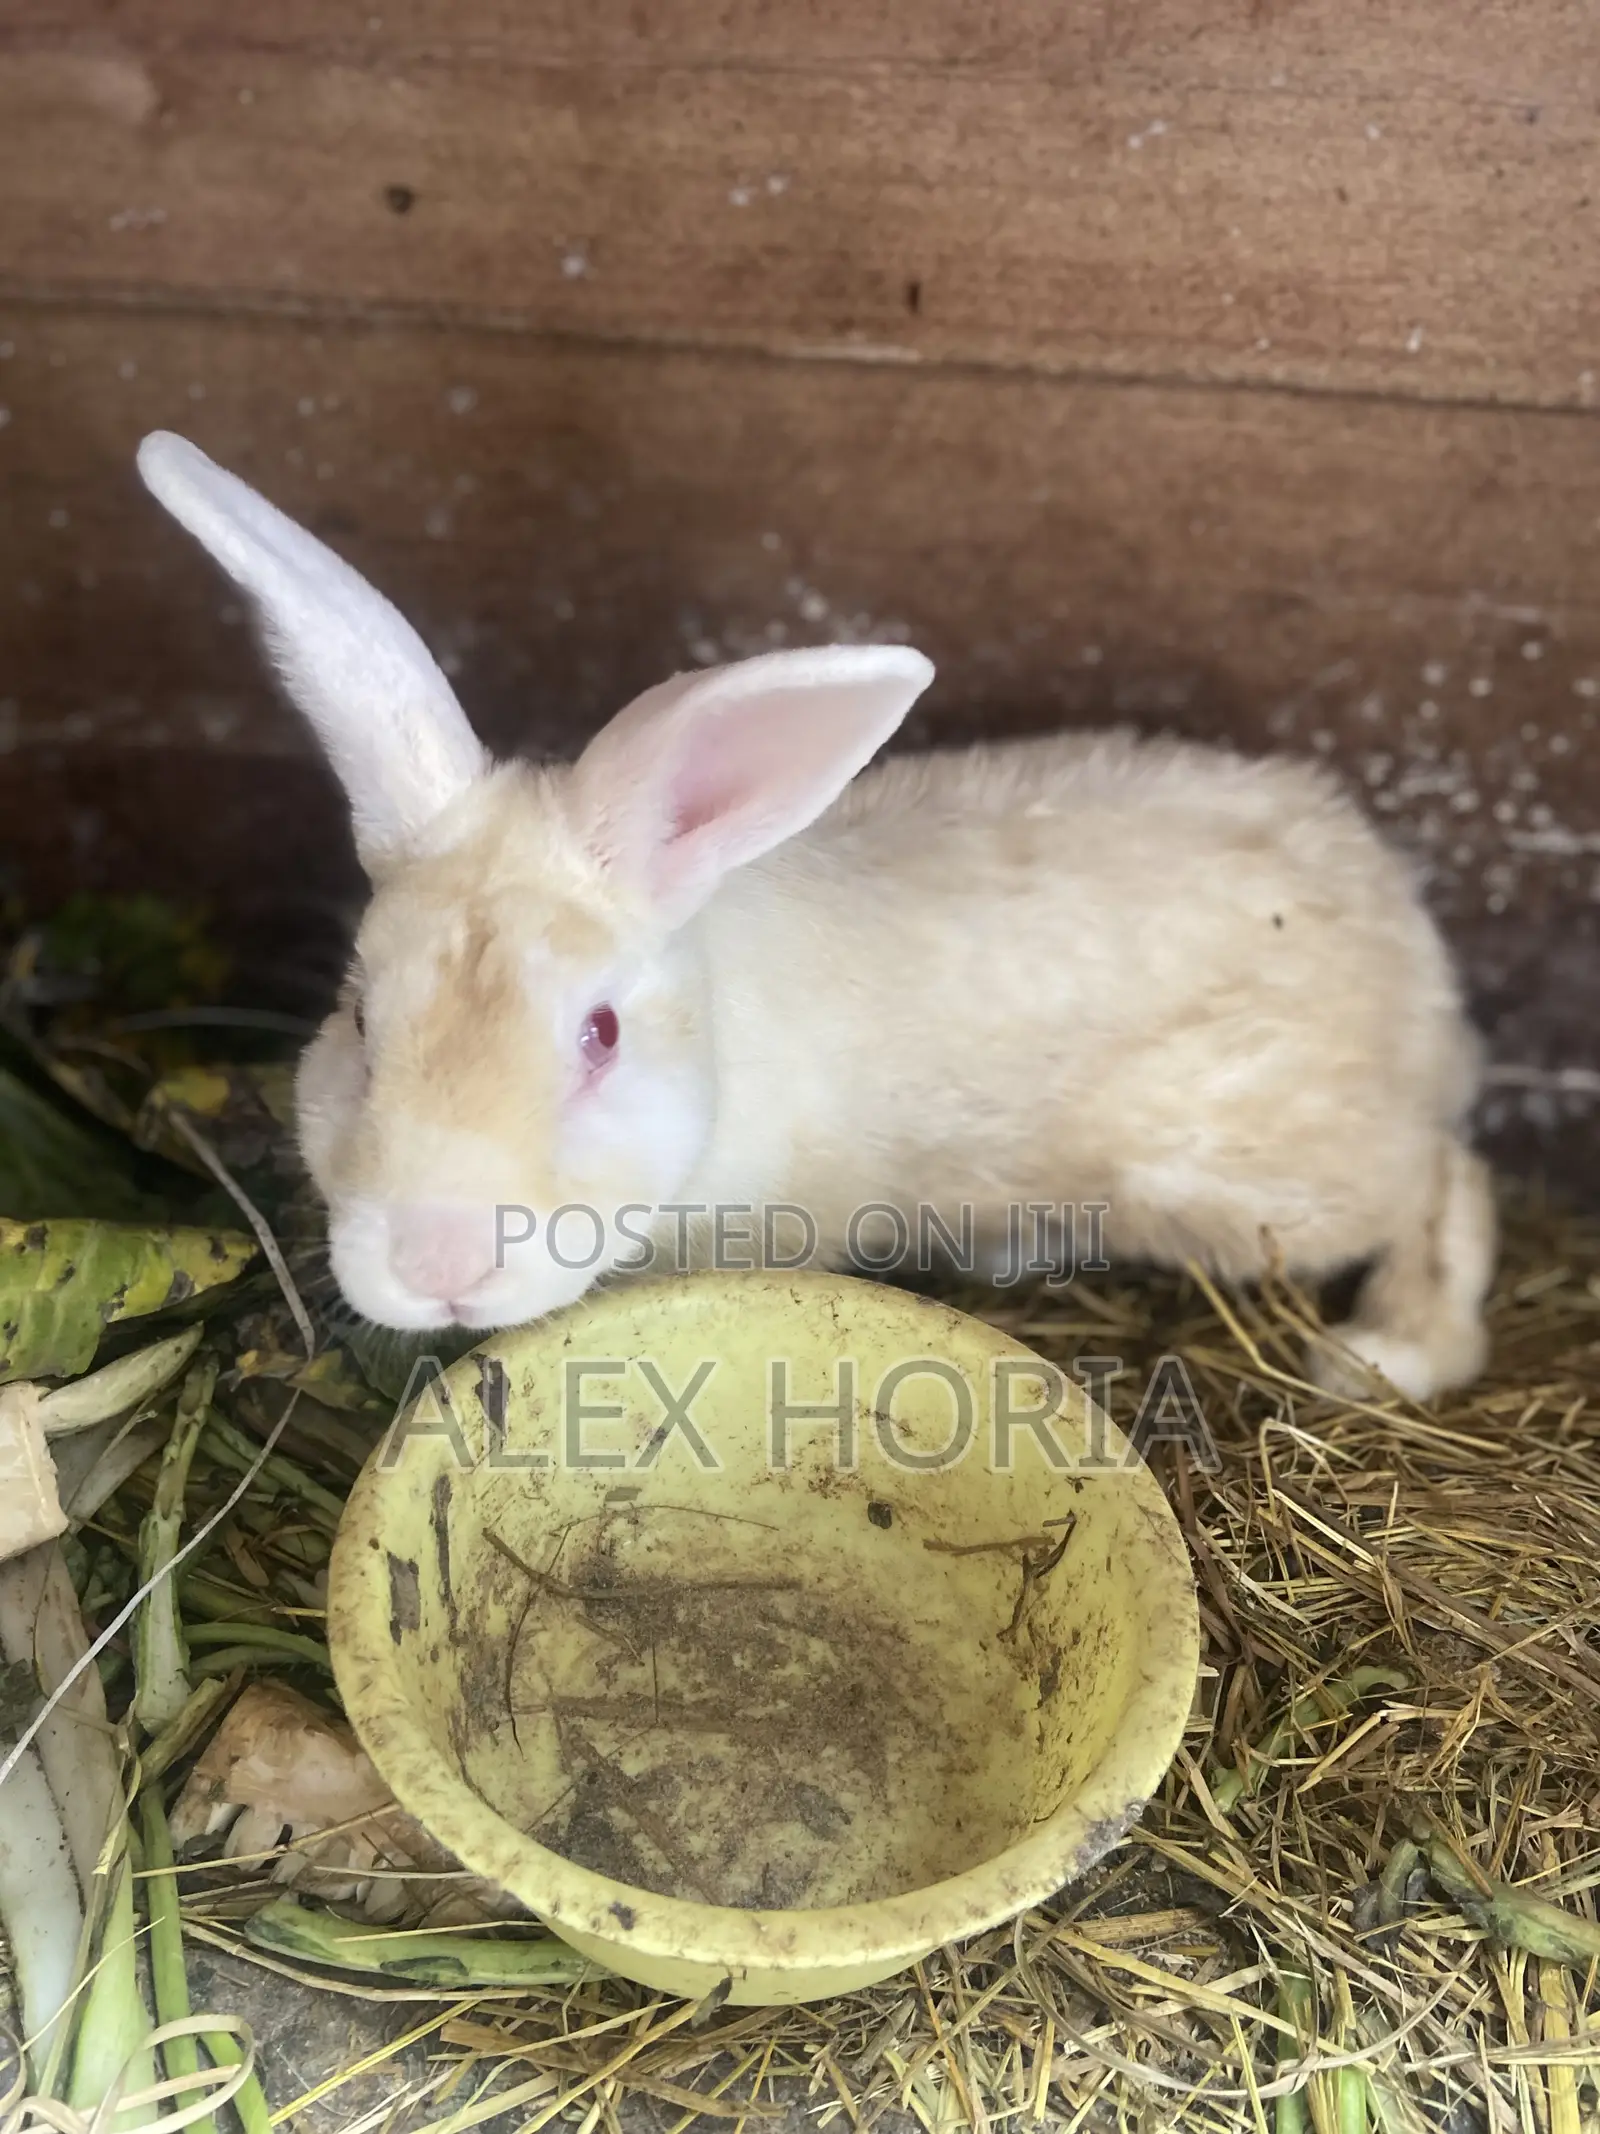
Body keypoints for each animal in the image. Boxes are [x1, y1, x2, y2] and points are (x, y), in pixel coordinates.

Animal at [137, 431, 1495, 1404]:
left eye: (599, 1034)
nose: (441, 1266)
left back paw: (1386, 1351)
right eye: (361, 1020)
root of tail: (1418, 959)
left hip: (1266, 1188)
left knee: (1444, 1177)